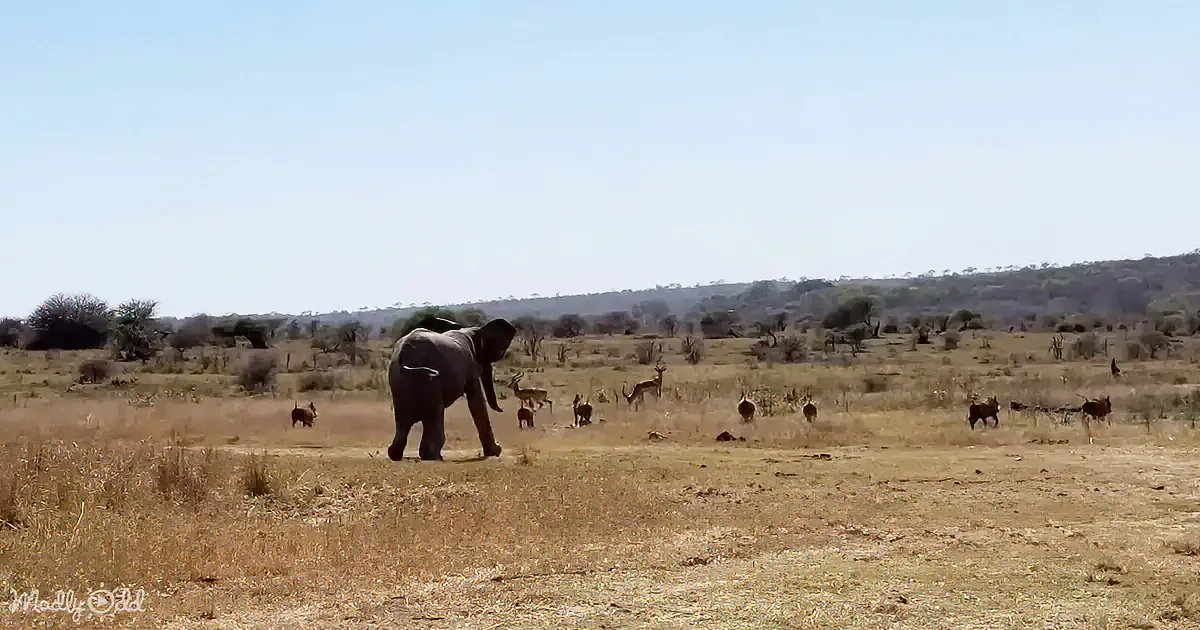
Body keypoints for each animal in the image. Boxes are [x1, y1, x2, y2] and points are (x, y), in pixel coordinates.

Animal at [387, 316, 517, 461]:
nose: (502, 409)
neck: (473, 331)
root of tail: (405, 355)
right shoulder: (470, 365)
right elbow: (476, 401)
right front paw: (495, 452)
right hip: (430, 383)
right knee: (434, 417)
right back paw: (434, 456)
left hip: (399, 383)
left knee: (402, 423)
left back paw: (395, 454)